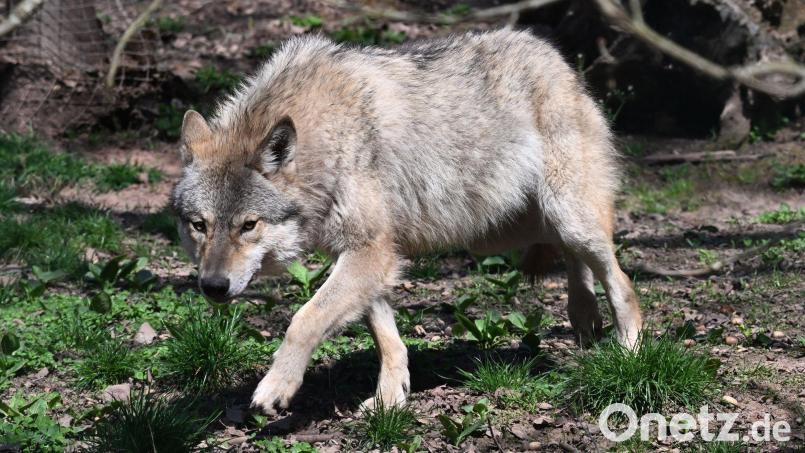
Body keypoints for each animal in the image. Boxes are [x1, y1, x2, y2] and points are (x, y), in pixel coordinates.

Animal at [171, 29, 643, 415]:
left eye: (248, 225)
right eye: (199, 225)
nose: (212, 287)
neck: (326, 140)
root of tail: (557, 58)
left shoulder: (370, 250)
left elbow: (304, 319)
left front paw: (276, 387)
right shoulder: (370, 255)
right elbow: (387, 338)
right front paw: (389, 399)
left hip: (564, 216)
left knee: (621, 280)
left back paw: (629, 352)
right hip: (501, 231)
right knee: (570, 255)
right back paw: (583, 316)